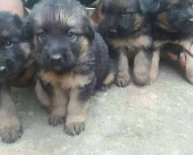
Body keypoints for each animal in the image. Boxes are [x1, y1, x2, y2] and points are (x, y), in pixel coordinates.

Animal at [26, 0, 115, 136]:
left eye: (70, 34)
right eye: (42, 35)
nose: (55, 58)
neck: (64, 70)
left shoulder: (82, 83)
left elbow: (76, 106)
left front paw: (74, 123)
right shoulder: (51, 82)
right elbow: (58, 101)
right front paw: (58, 115)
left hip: (110, 70)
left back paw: (104, 86)